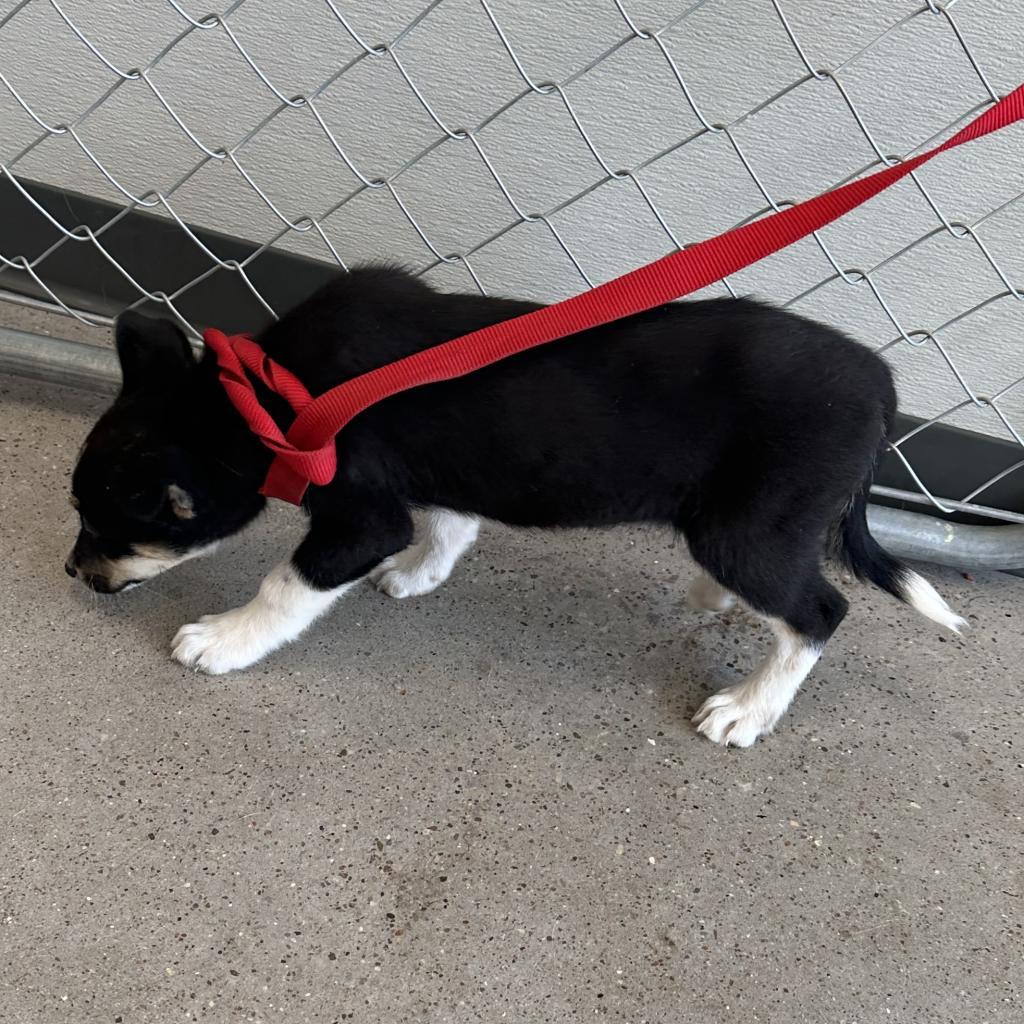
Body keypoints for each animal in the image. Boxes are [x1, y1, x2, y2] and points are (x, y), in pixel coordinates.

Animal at [68, 266, 962, 745]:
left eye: (110, 528)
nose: (75, 572)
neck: (267, 394)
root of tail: (881, 388)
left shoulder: (358, 518)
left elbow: (286, 586)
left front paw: (223, 641)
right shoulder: (425, 485)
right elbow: (450, 525)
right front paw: (418, 576)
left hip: (749, 529)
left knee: (818, 611)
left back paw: (747, 710)